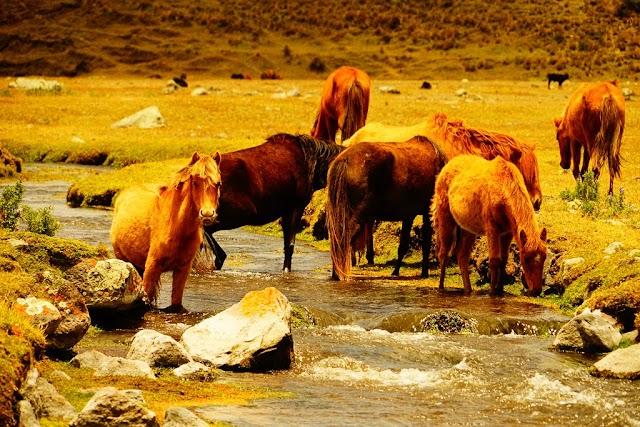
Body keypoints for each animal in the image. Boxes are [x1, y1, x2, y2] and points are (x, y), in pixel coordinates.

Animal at [112, 152, 225, 312]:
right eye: (195, 182)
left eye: (218, 183)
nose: (207, 214)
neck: (177, 227)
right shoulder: (152, 267)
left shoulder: (183, 269)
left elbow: (176, 303)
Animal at [205, 134, 344, 272]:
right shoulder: (296, 207)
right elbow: (290, 245)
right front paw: (286, 270)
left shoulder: (286, 211)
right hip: (240, 213)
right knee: (209, 233)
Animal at [328, 135, 448, 280]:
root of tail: (345, 160)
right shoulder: (425, 213)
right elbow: (425, 243)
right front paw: (424, 272)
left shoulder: (408, 215)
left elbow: (403, 244)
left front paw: (396, 271)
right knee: (345, 239)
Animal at [430, 155, 544, 300]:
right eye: (526, 260)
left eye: (544, 258)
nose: (536, 291)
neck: (503, 188)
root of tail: (445, 168)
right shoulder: (492, 229)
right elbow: (494, 260)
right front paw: (492, 292)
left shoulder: (507, 232)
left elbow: (503, 260)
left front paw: (500, 290)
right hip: (446, 220)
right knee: (443, 254)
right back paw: (441, 288)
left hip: (468, 229)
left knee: (462, 255)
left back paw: (468, 290)